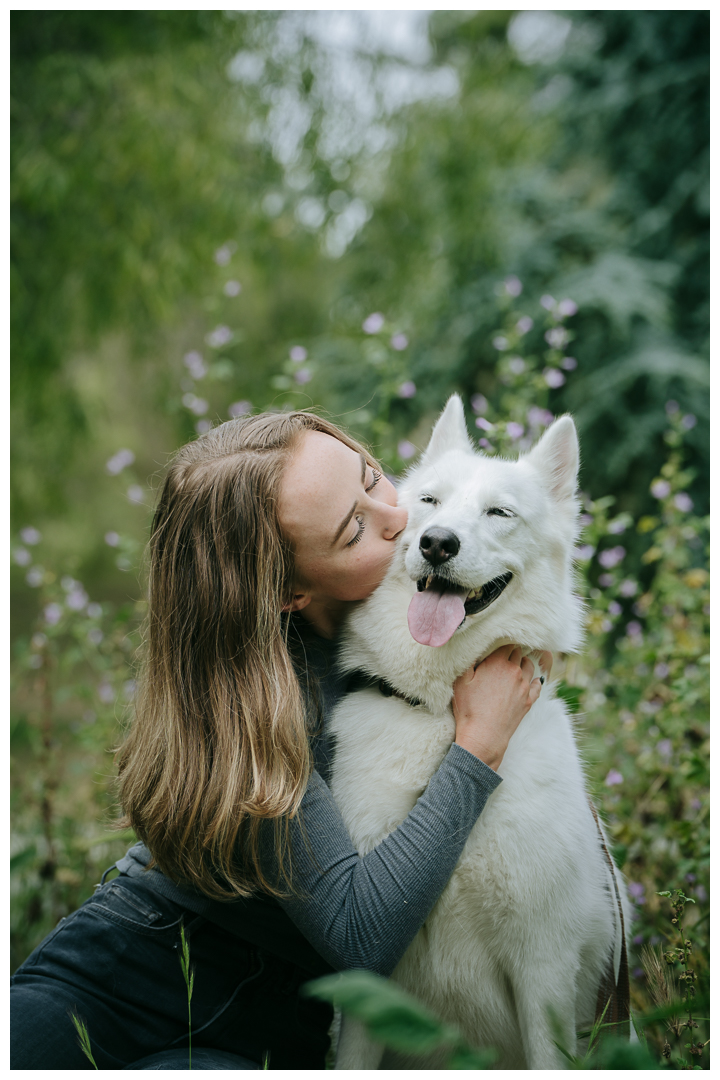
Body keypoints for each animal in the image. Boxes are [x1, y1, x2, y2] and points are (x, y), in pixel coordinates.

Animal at [330, 393, 626, 1067]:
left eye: (499, 512)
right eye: (430, 502)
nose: (437, 543)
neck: (446, 722)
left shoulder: (543, 971)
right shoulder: (368, 980)